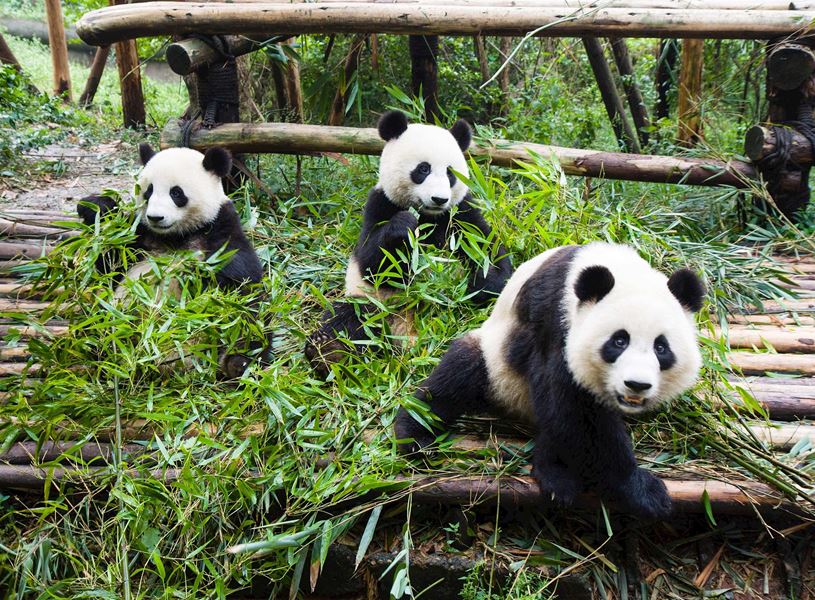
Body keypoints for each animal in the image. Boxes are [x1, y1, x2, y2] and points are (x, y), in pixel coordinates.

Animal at [77, 143, 269, 378]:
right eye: (148, 191)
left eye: (176, 193)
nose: (155, 217)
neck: (174, 236)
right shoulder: (139, 237)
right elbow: (109, 262)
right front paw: (95, 206)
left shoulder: (220, 227)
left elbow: (240, 278)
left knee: (250, 329)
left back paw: (238, 364)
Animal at [305, 110, 513, 376]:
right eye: (423, 169)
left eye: (450, 173)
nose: (439, 199)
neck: (428, 214)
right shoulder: (380, 202)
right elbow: (371, 262)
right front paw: (404, 226)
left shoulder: (461, 212)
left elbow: (488, 250)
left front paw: (479, 285)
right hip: (374, 305)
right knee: (347, 317)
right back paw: (329, 352)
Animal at [394, 242, 705, 518]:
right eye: (619, 341)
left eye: (661, 347)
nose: (636, 385)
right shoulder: (556, 321)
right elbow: (575, 409)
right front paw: (643, 489)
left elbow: (568, 415)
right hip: (496, 365)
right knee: (457, 377)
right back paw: (415, 435)